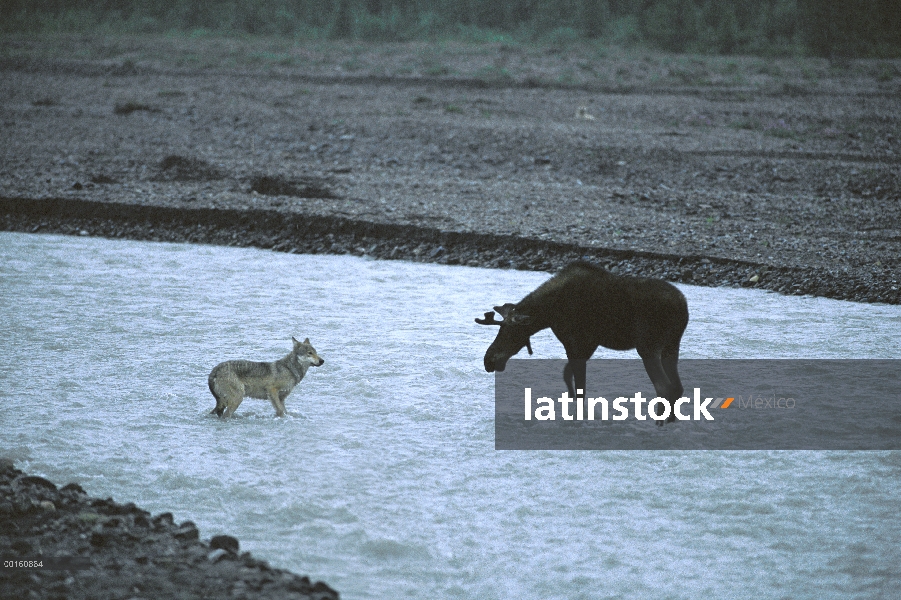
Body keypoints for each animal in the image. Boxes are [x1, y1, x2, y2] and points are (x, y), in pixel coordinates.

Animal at [478, 262, 688, 422]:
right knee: (677, 387)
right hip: (671, 346)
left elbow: (579, 387)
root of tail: (682, 306)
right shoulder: (587, 345)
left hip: (648, 346)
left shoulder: (575, 343)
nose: (488, 360)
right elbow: (567, 376)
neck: (549, 312)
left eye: (509, 332)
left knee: (664, 386)